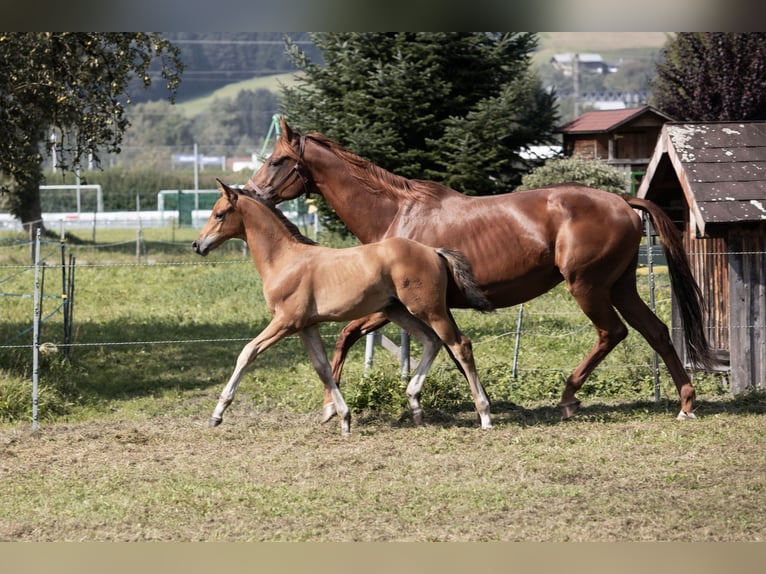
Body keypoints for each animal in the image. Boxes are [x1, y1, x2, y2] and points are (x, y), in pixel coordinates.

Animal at [191, 178, 492, 434]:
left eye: (219, 214)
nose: (197, 245)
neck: (284, 260)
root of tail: (433, 251)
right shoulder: (306, 325)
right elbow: (323, 368)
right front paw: (344, 418)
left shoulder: (285, 321)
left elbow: (247, 352)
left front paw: (217, 414)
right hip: (397, 311)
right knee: (432, 341)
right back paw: (415, 404)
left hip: (429, 310)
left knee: (459, 345)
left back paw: (485, 415)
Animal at [249, 117, 716, 424]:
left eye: (275, 161)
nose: (250, 194)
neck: (398, 213)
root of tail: (622, 201)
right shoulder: (413, 308)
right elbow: (450, 351)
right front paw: (484, 402)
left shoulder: (396, 304)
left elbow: (348, 335)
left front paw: (331, 407)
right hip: (620, 286)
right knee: (655, 331)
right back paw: (686, 403)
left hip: (587, 286)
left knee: (612, 332)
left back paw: (569, 398)